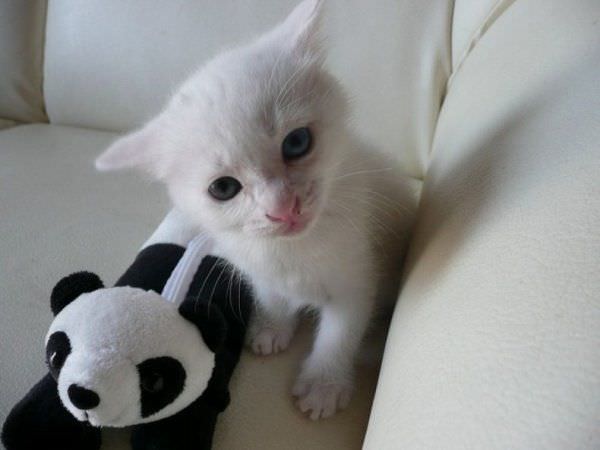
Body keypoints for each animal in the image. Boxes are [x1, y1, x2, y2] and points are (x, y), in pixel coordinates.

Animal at [97, 0, 418, 422]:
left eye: (297, 142)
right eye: (223, 188)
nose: (283, 209)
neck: (292, 250)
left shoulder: (357, 277)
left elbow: (340, 334)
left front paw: (323, 384)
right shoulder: (255, 264)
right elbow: (270, 294)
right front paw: (272, 326)